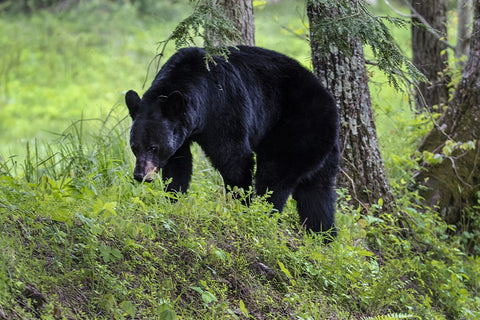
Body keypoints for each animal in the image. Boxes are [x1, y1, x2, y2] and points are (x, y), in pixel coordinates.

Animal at [125, 45, 340, 235]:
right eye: (135, 147)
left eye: (153, 147)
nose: (140, 175)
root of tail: (330, 102)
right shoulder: (181, 130)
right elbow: (178, 163)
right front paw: (174, 198)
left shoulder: (224, 109)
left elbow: (234, 158)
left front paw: (240, 205)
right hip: (322, 147)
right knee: (317, 193)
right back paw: (323, 234)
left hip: (297, 128)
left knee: (275, 176)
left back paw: (263, 215)